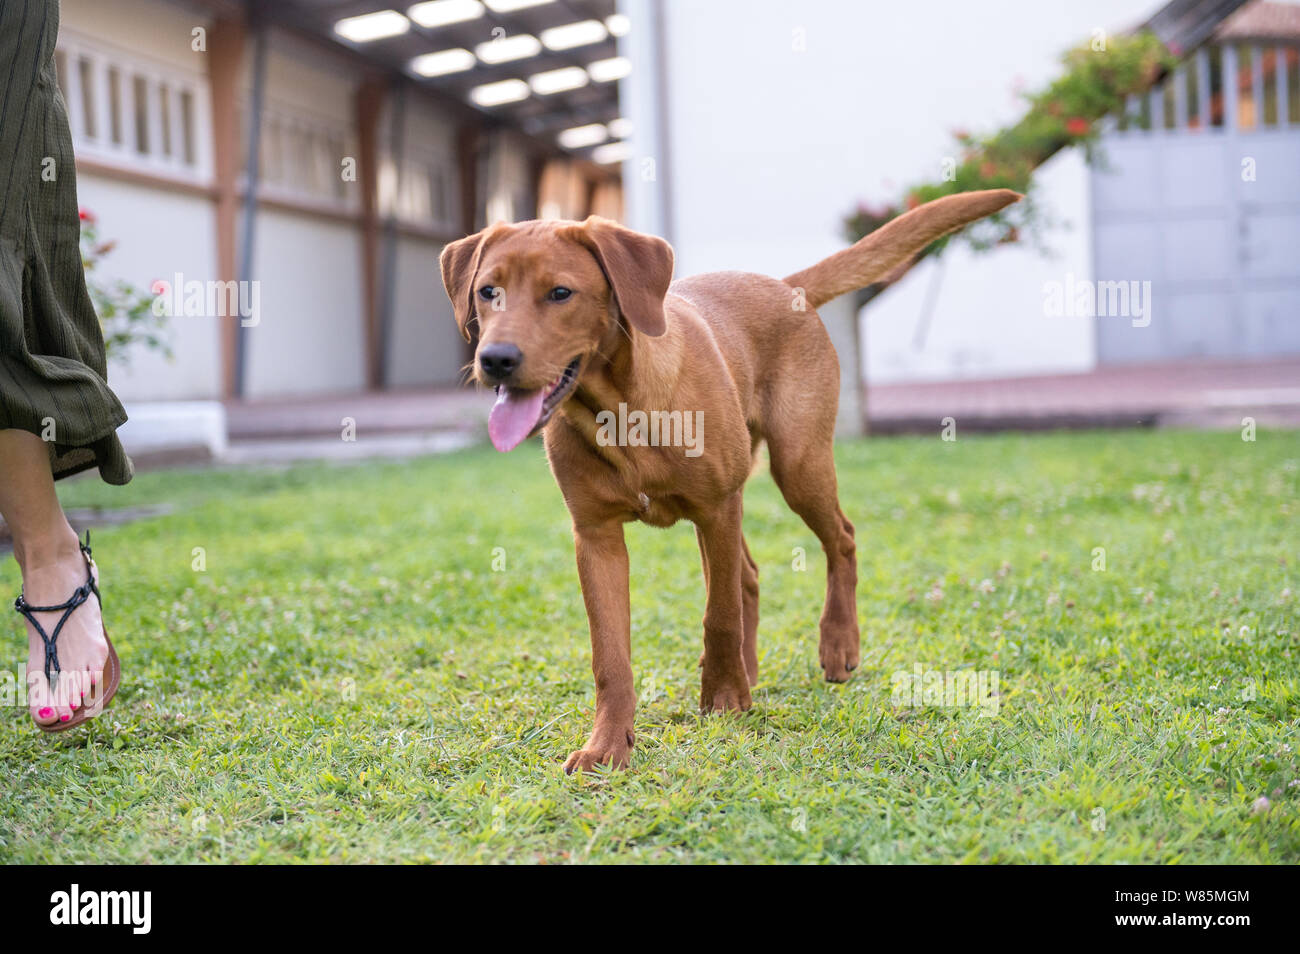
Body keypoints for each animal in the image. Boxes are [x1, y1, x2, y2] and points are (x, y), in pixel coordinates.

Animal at [441, 188, 1019, 779]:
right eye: (488, 291)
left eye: (560, 293)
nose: (495, 360)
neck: (619, 408)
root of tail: (786, 285)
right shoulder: (596, 536)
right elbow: (611, 657)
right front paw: (608, 745)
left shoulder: (717, 506)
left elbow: (718, 615)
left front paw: (722, 700)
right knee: (749, 576)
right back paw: (751, 667)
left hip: (797, 465)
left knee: (839, 539)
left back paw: (836, 644)